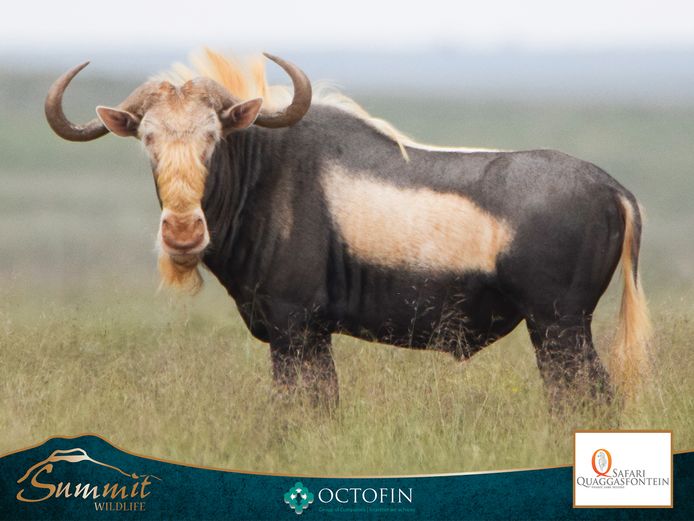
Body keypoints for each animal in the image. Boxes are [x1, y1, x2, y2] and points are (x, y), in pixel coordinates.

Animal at [45, 50, 651, 410]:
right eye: (146, 140)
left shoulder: (296, 329)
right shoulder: (305, 335)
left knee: (588, 397)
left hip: (559, 327)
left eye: (212, 136)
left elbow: (305, 409)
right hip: (558, 329)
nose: (183, 234)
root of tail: (612, 187)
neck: (268, 173)